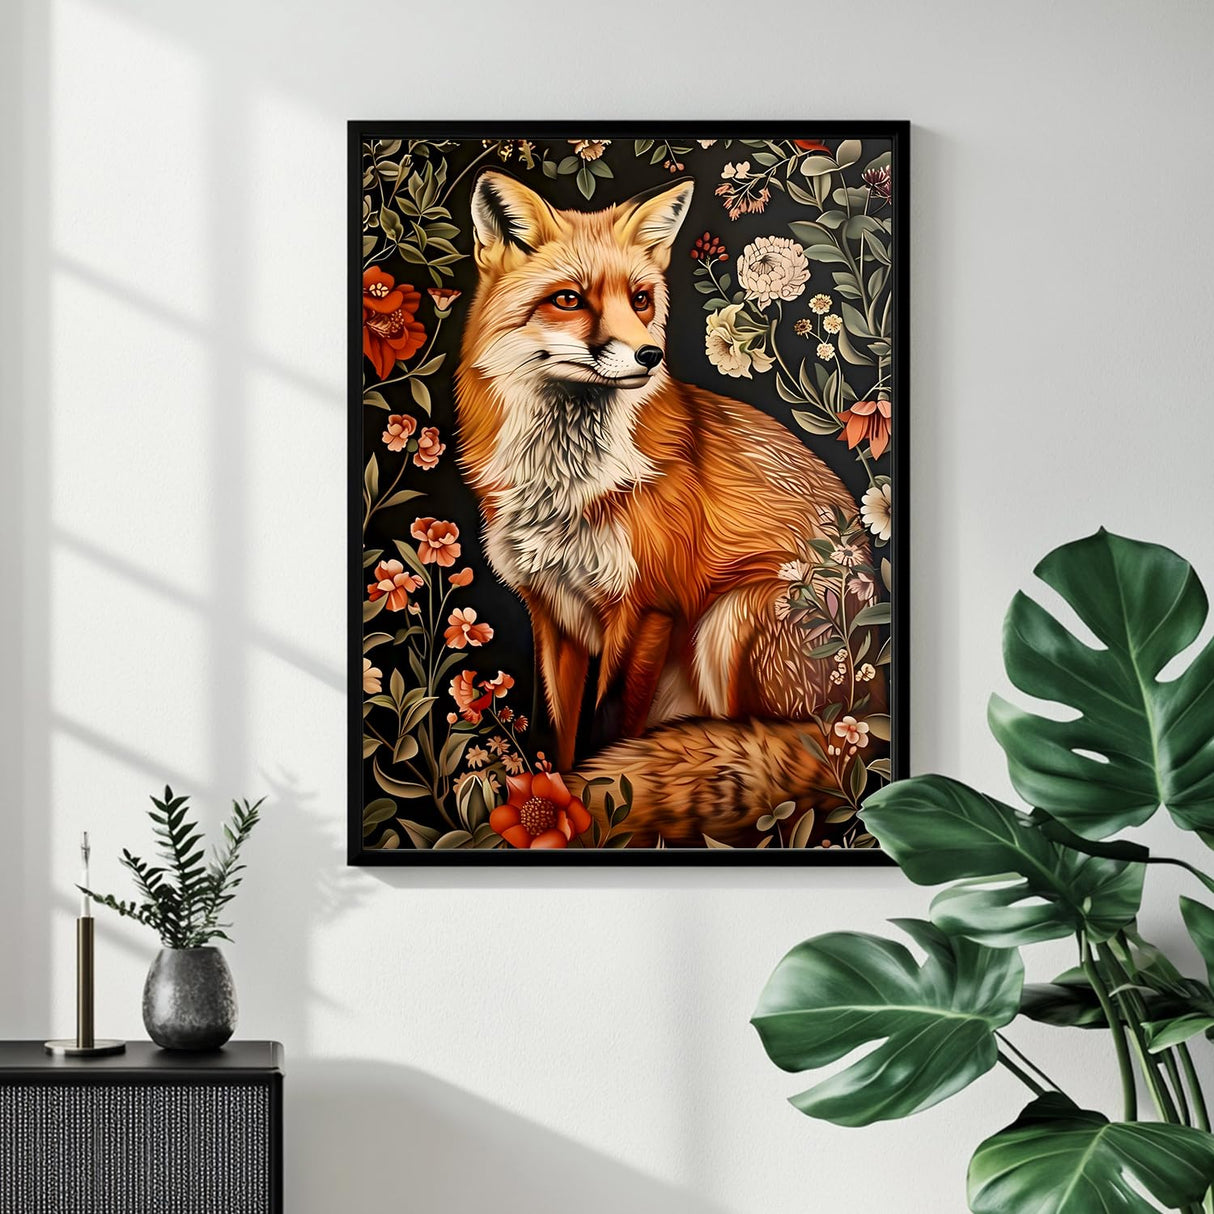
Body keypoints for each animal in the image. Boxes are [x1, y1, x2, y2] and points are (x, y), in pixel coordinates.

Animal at [455, 169, 885, 845]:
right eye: (569, 300)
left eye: (640, 300)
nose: (649, 356)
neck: (565, 484)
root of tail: (865, 721)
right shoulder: (553, 611)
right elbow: (561, 729)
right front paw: (556, 798)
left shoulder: (647, 605)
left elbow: (609, 731)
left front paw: (597, 806)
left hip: (732, 621)